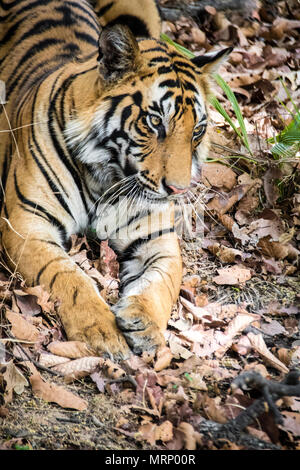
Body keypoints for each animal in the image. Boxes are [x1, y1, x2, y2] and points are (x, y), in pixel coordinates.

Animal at [0, 0, 231, 360]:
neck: (106, 177)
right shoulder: (26, 224)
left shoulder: (157, 238)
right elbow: (67, 276)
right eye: (154, 122)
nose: (178, 190)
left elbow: (163, 281)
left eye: (197, 131)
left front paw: (144, 323)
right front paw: (101, 330)